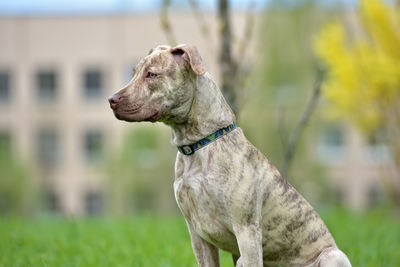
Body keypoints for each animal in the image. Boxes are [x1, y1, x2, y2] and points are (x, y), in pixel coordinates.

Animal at [108, 44, 352, 267]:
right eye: (134, 72)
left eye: (152, 74)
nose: (112, 99)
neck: (197, 146)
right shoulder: (197, 235)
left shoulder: (247, 230)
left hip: (333, 256)